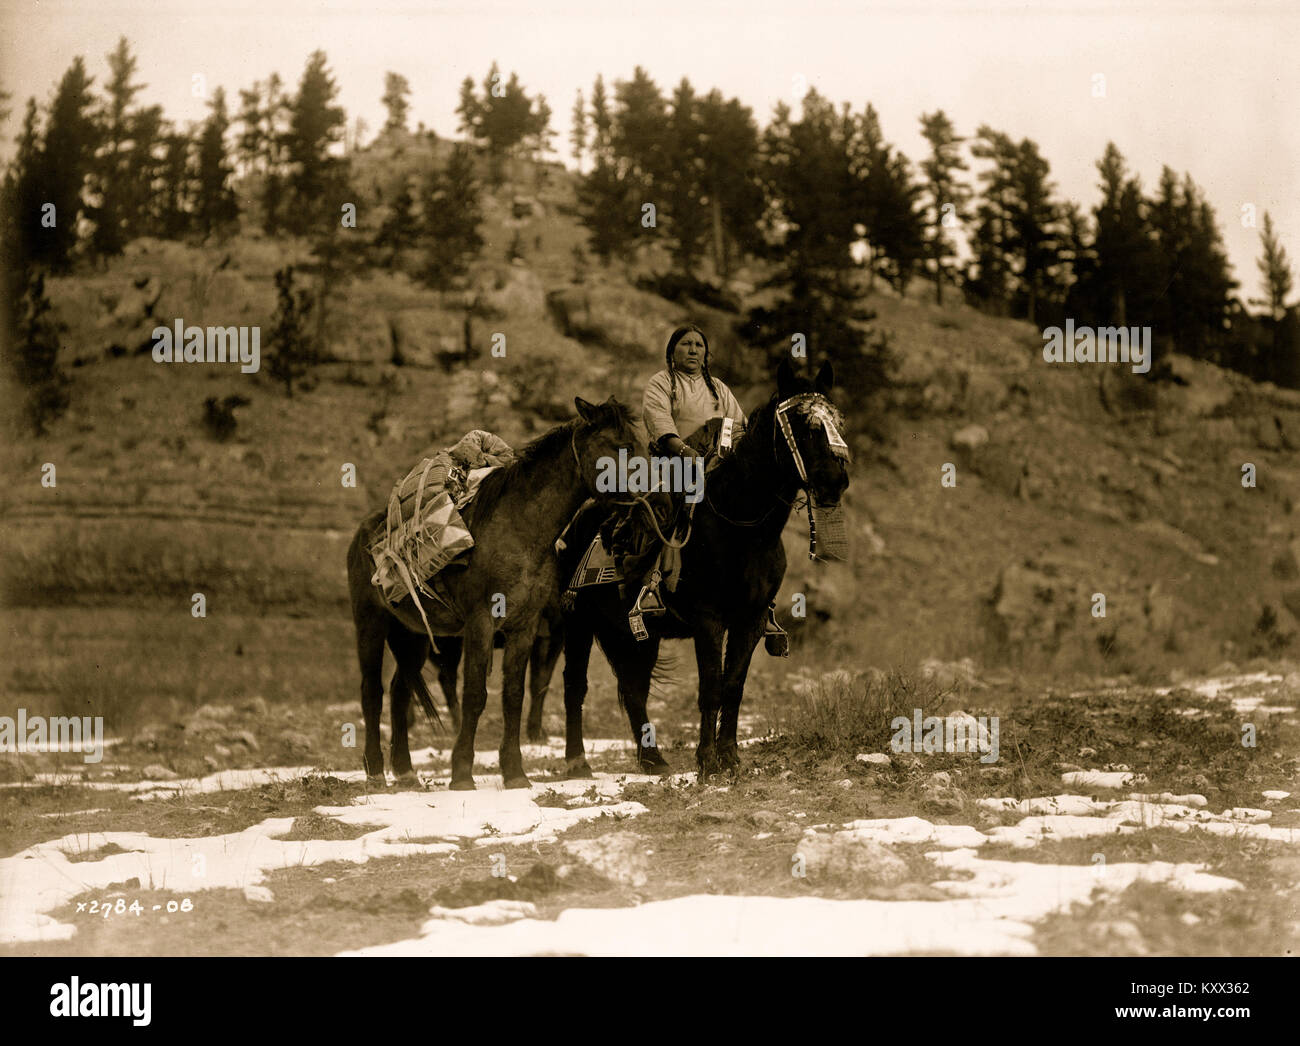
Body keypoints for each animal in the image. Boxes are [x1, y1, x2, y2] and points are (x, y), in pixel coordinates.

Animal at [348, 395, 647, 790]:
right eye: (617, 445)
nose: (655, 493)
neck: (518, 532)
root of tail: (364, 533)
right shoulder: (481, 624)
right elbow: (475, 694)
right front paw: (462, 773)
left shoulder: (524, 628)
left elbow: (513, 695)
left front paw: (515, 772)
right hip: (371, 623)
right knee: (372, 692)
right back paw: (376, 770)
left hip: (415, 634)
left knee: (400, 691)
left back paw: (406, 770)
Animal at [561, 358, 847, 774]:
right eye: (803, 425)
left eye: (838, 423)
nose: (835, 481)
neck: (741, 527)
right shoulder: (708, 619)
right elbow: (710, 686)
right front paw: (708, 760)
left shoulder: (750, 620)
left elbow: (733, 686)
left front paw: (730, 755)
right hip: (577, 623)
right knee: (574, 685)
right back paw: (576, 761)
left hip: (635, 631)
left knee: (634, 688)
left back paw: (653, 758)